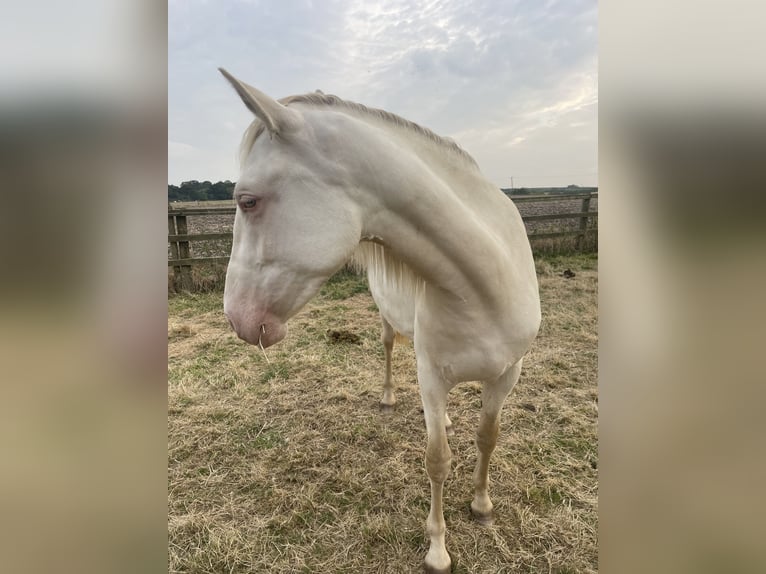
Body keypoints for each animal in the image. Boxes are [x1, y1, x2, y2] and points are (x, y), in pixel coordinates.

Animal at [219, 68, 544, 574]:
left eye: (247, 201)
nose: (236, 317)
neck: (485, 285)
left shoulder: (508, 374)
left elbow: (487, 437)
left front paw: (482, 505)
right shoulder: (431, 375)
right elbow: (437, 460)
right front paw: (437, 549)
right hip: (392, 326)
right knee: (390, 347)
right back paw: (390, 396)